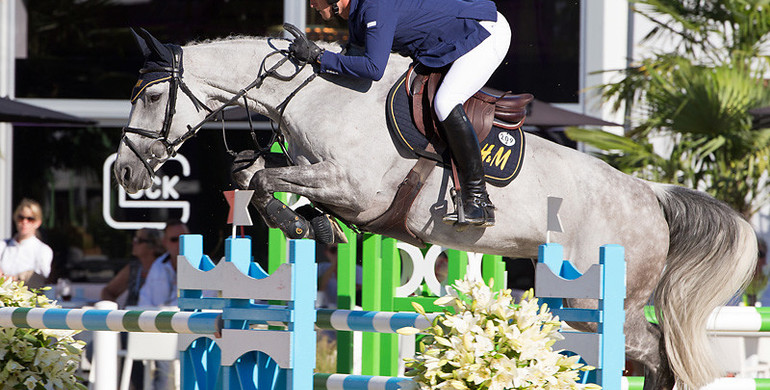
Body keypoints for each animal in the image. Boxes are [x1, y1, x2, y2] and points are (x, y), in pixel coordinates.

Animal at [115, 28, 756, 390]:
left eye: (152, 96)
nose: (124, 173)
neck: (314, 96)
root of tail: (651, 194)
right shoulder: (329, 181)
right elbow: (252, 175)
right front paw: (311, 224)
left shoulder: (356, 188)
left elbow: (268, 177)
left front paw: (297, 220)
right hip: (571, 300)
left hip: (598, 302)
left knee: (660, 359)